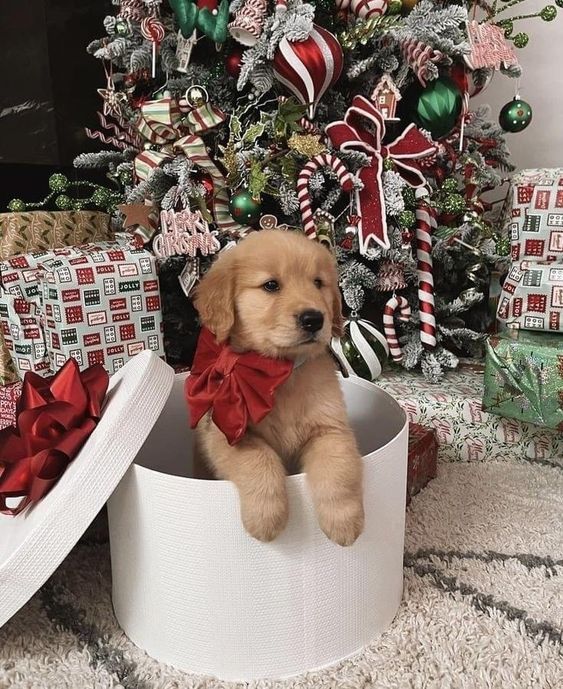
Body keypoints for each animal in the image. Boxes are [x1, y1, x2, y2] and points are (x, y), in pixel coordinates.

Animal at [192, 228, 364, 544]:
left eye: (318, 282)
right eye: (271, 285)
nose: (314, 319)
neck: (279, 375)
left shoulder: (330, 429)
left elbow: (339, 471)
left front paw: (344, 523)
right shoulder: (227, 437)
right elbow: (260, 459)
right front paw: (266, 518)